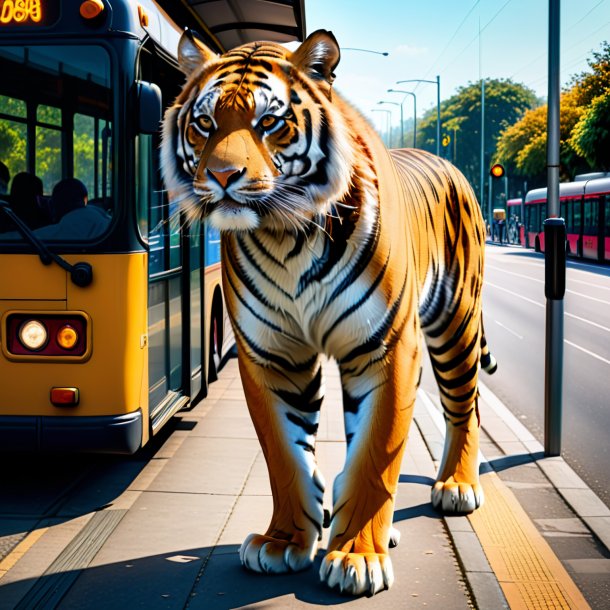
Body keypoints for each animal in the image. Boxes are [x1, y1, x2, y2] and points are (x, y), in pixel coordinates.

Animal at [160, 28, 494, 592]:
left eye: (268, 122)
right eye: (204, 123)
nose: (223, 175)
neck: (286, 236)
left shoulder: (386, 349)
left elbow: (376, 454)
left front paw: (357, 556)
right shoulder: (272, 356)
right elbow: (285, 455)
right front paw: (284, 540)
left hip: (456, 324)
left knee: (463, 404)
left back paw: (456, 486)